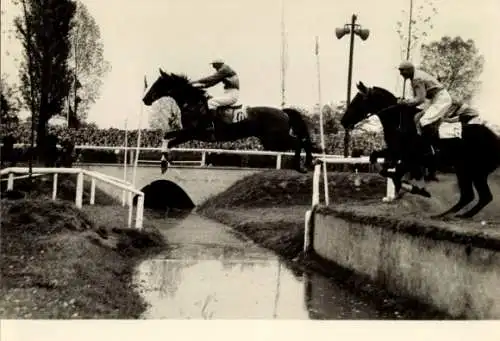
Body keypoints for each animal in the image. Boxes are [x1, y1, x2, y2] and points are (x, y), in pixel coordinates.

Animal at [141, 68, 314, 173]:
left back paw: (301, 166)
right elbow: (166, 137)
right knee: (303, 142)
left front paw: (164, 164)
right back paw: (308, 164)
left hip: (275, 139)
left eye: (158, 83)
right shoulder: (188, 133)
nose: (145, 99)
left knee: (299, 142)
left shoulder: (192, 133)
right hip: (270, 142)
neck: (193, 103)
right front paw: (164, 163)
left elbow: (169, 140)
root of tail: (283, 112)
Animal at [340, 81, 500, 216]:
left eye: (357, 102)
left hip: (474, 170)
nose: (343, 122)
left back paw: (458, 215)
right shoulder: (395, 152)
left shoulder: (410, 158)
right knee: (472, 196)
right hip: (466, 170)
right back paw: (447, 215)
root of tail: (496, 138)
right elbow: (377, 160)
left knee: (481, 196)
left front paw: (413, 188)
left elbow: (394, 172)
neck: (399, 121)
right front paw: (409, 188)